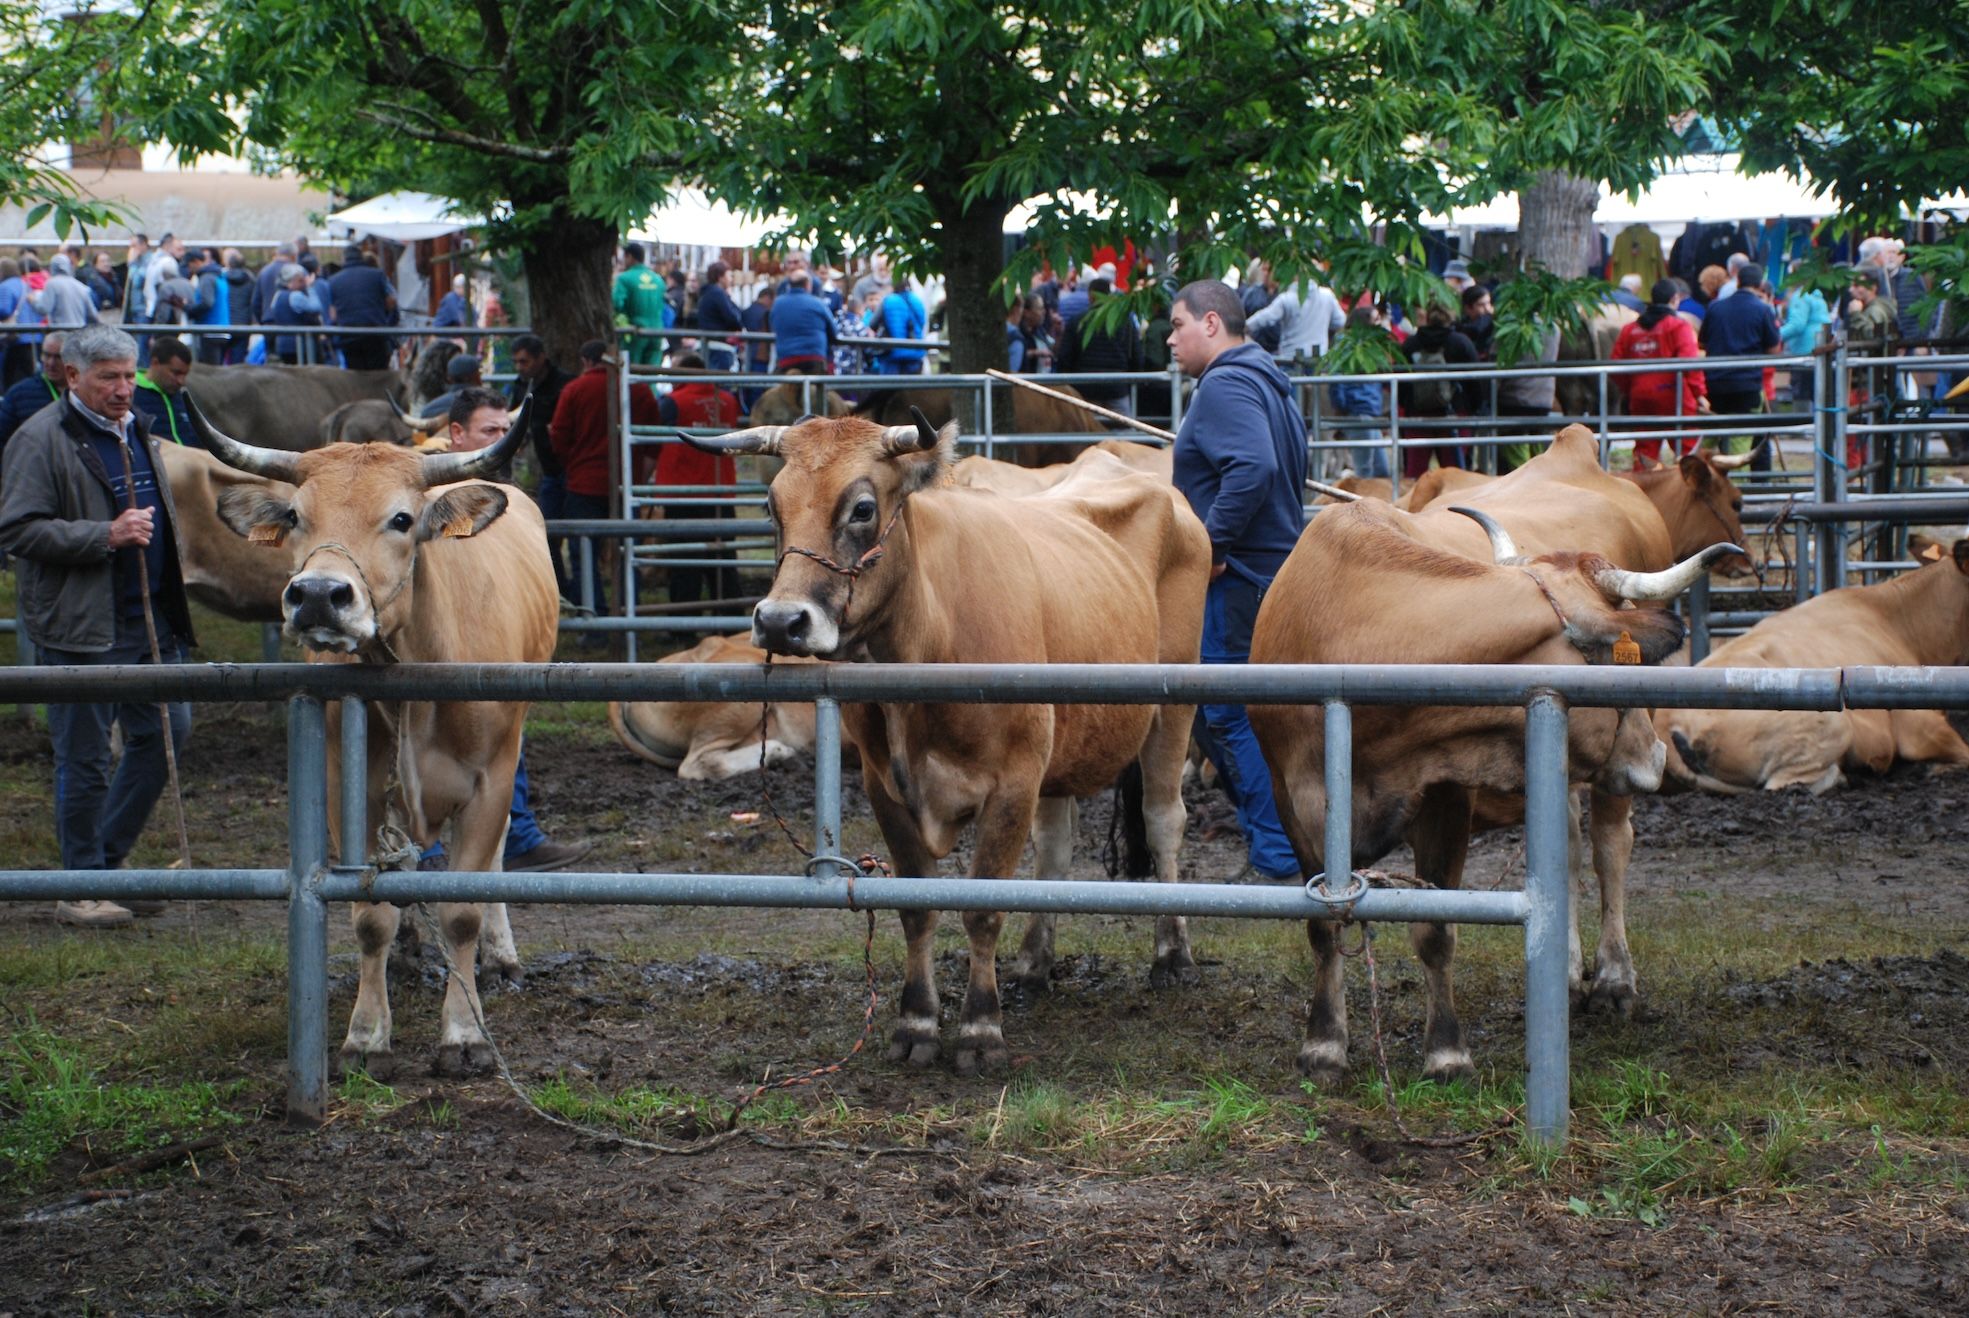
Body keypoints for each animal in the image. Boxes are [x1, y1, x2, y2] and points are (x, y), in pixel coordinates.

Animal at [188, 395, 559, 1071]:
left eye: (401, 518)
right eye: (295, 515)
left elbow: (463, 909)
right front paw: (366, 1033)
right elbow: (369, 916)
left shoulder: (490, 779)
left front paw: (464, 1034)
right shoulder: (347, 785)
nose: (317, 596)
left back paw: (499, 958)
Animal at [693, 407, 1212, 1071]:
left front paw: (980, 1028)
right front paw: (916, 1020)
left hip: (1173, 707)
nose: (781, 622)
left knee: (1163, 819)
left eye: (862, 508)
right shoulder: (885, 788)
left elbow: (982, 906)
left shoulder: (1011, 783)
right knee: (1055, 847)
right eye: (771, 503)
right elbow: (918, 905)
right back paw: (1035, 963)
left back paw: (1173, 955)